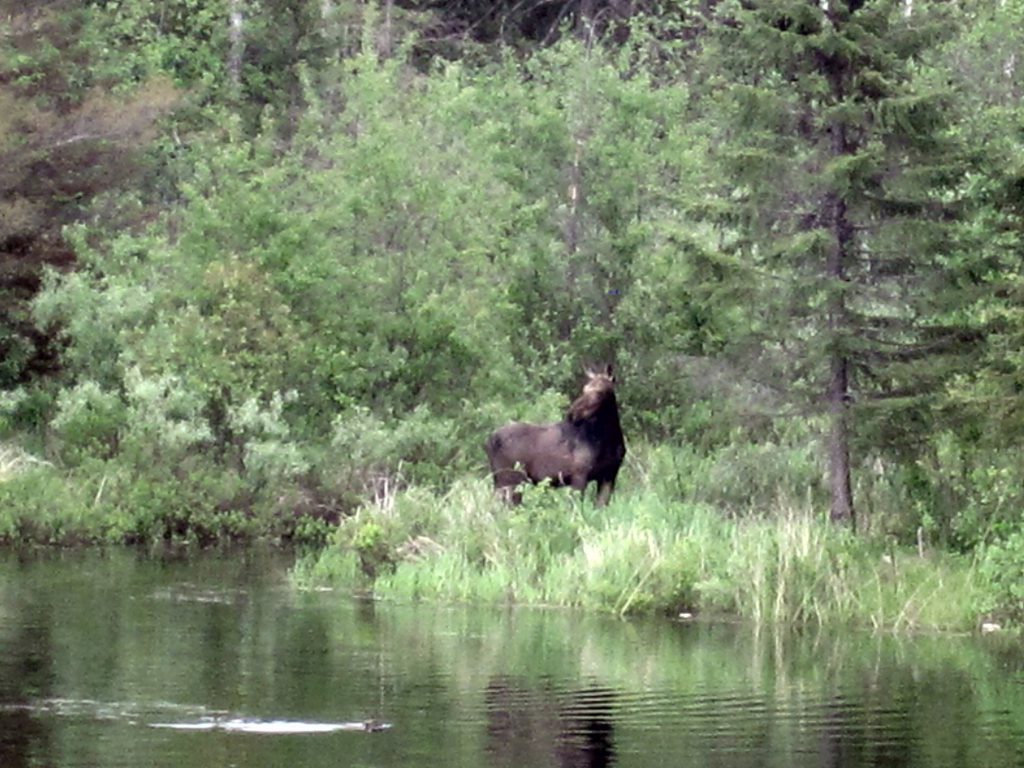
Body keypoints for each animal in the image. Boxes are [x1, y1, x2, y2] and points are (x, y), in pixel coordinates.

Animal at [485, 364, 626, 505]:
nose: (571, 414)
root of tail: (489, 441)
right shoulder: (579, 475)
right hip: (509, 477)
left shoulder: (610, 475)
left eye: (599, 392)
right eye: (584, 389)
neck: (609, 439)